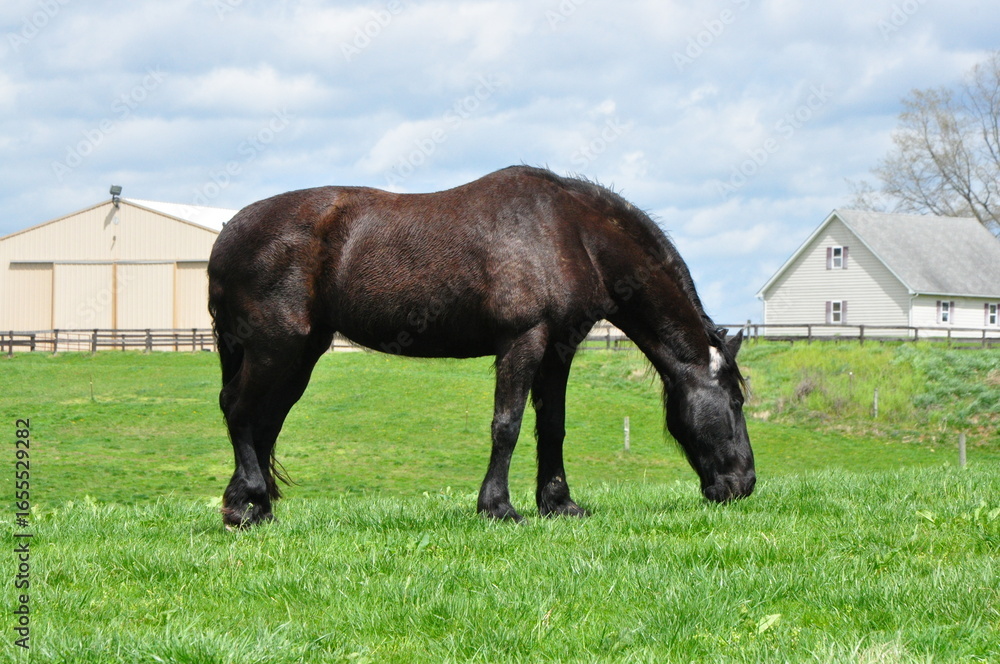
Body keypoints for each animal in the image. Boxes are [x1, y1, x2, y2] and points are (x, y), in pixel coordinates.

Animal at [208, 165, 755, 528]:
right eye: (735, 400)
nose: (743, 485)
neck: (569, 231)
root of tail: (226, 238)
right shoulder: (523, 340)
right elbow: (506, 426)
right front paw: (498, 507)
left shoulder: (559, 349)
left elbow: (551, 428)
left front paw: (559, 504)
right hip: (276, 349)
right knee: (238, 410)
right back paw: (244, 505)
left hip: (299, 355)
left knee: (264, 421)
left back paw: (257, 506)